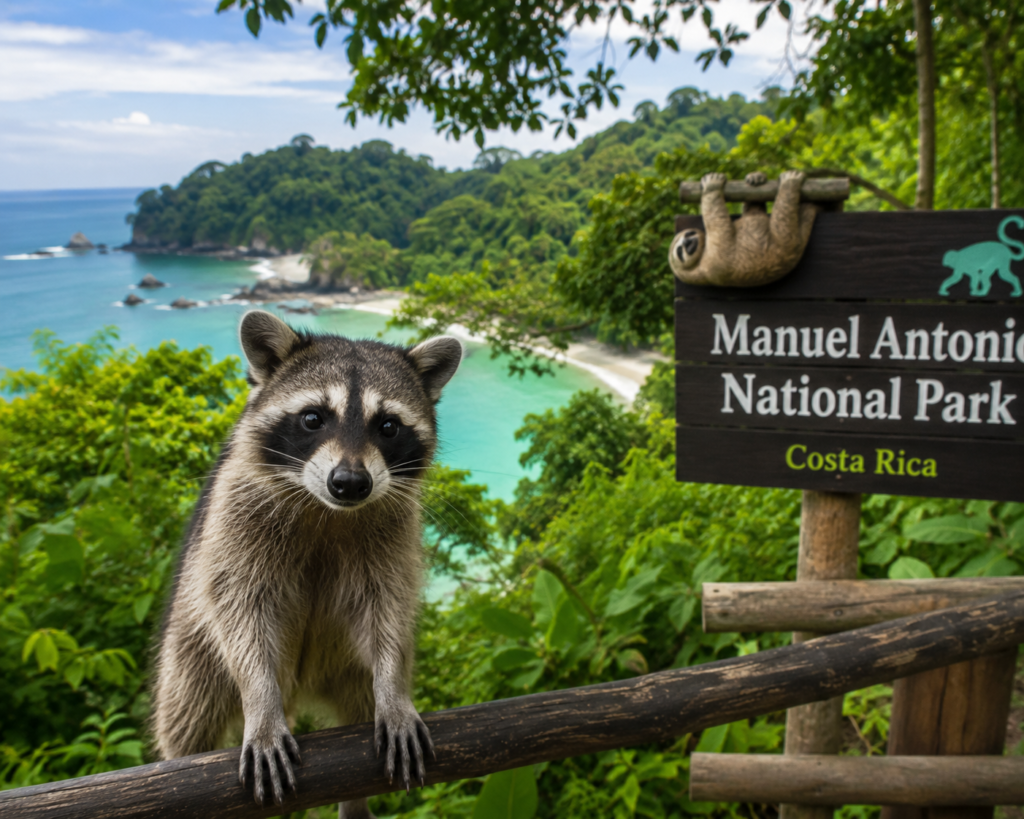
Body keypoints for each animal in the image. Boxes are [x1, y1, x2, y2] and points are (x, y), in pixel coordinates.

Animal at [152, 310, 462, 817]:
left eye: (389, 426)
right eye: (313, 418)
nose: (350, 483)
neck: (327, 509)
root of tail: (299, 687)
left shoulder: (393, 532)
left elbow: (389, 609)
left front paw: (394, 691)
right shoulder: (236, 518)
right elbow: (241, 609)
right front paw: (260, 704)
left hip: (346, 668)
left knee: (359, 699)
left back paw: (355, 800)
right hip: (188, 652)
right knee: (186, 716)